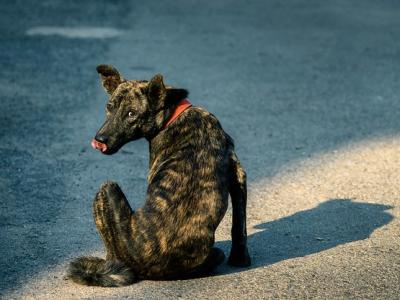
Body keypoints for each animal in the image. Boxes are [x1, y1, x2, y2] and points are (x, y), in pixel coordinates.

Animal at [68, 65, 250, 286]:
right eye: (109, 107)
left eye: (131, 113)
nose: (99, 139)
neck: (173, 113)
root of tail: (143, 268)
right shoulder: (238, 175)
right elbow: (239, 225)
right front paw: (240, 259)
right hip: (214, 255)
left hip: (107, 189)